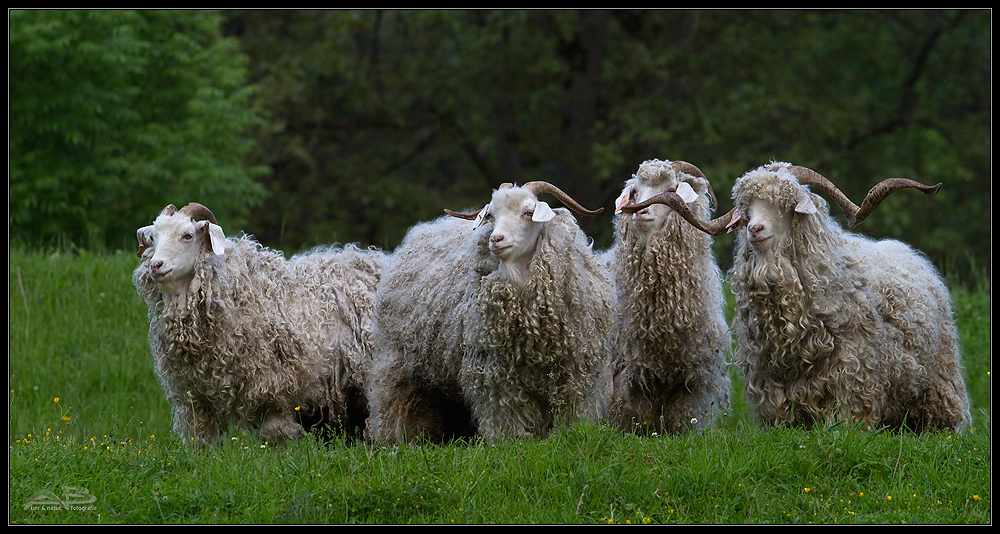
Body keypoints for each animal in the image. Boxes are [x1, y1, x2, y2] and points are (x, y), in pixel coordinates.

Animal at [133, 203, 382, 446]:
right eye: (153, 238)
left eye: (188, 235)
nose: (156, 265)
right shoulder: (194, 398)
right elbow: (202, 442)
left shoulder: (272, 387)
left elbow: (275, 435)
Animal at [368, 183, 612, 444]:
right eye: (492, 216)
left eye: (528, 212)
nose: (496, 239)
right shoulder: (496, 374)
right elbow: (506, 418)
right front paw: (511, 441)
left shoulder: (574, 371)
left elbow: (571, 413)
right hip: (396, 359)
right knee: (394, 400)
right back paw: (395, 439)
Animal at [656, 163, 968, 436]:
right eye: (745, 210)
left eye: (786, 204)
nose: (755, 229)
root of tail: (911, 254)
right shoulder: (770, 381)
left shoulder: (853, 375)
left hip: (938, 381)